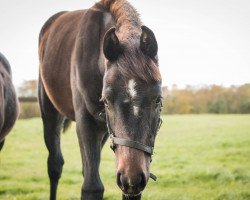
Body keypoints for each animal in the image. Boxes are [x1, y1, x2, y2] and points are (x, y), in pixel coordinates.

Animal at [38, 0, 162, 199]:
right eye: (106, 100)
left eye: (158, 100)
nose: (132, 179)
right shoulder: (86, 121)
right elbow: (92, 186)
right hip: (50, 111)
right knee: (55, 165)